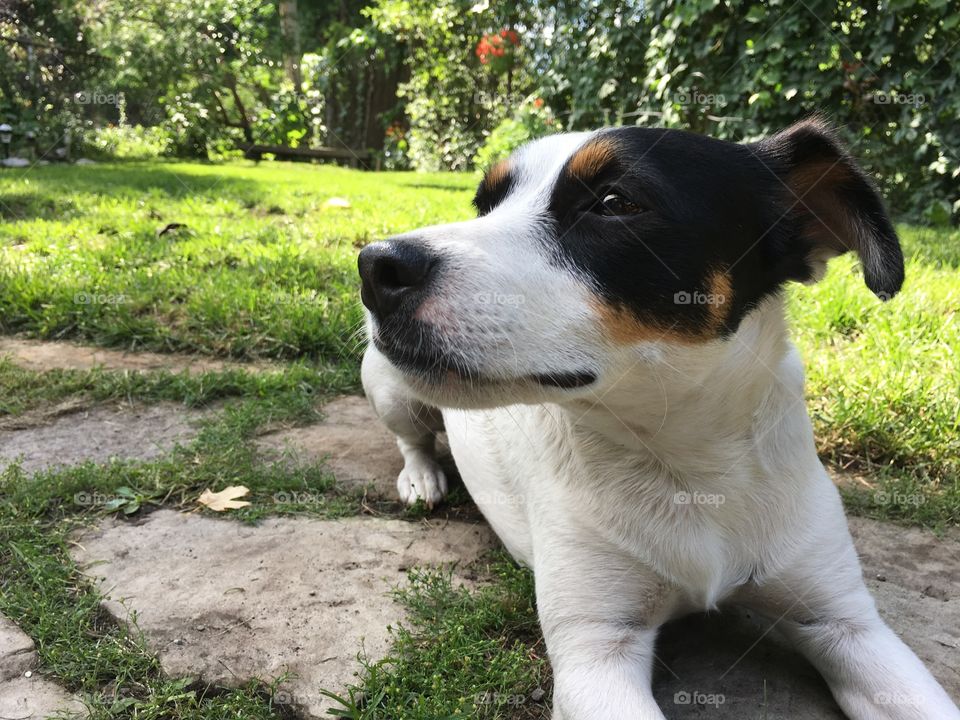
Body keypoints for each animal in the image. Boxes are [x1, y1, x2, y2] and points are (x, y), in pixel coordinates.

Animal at [356, 121, 956, 716]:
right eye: (485, 205)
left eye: (615, 203)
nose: (376, 265)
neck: (686, 462)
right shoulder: (597, 656)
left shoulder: (845, 623)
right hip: (388, 385)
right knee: (412, 438)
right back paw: (422, 477)